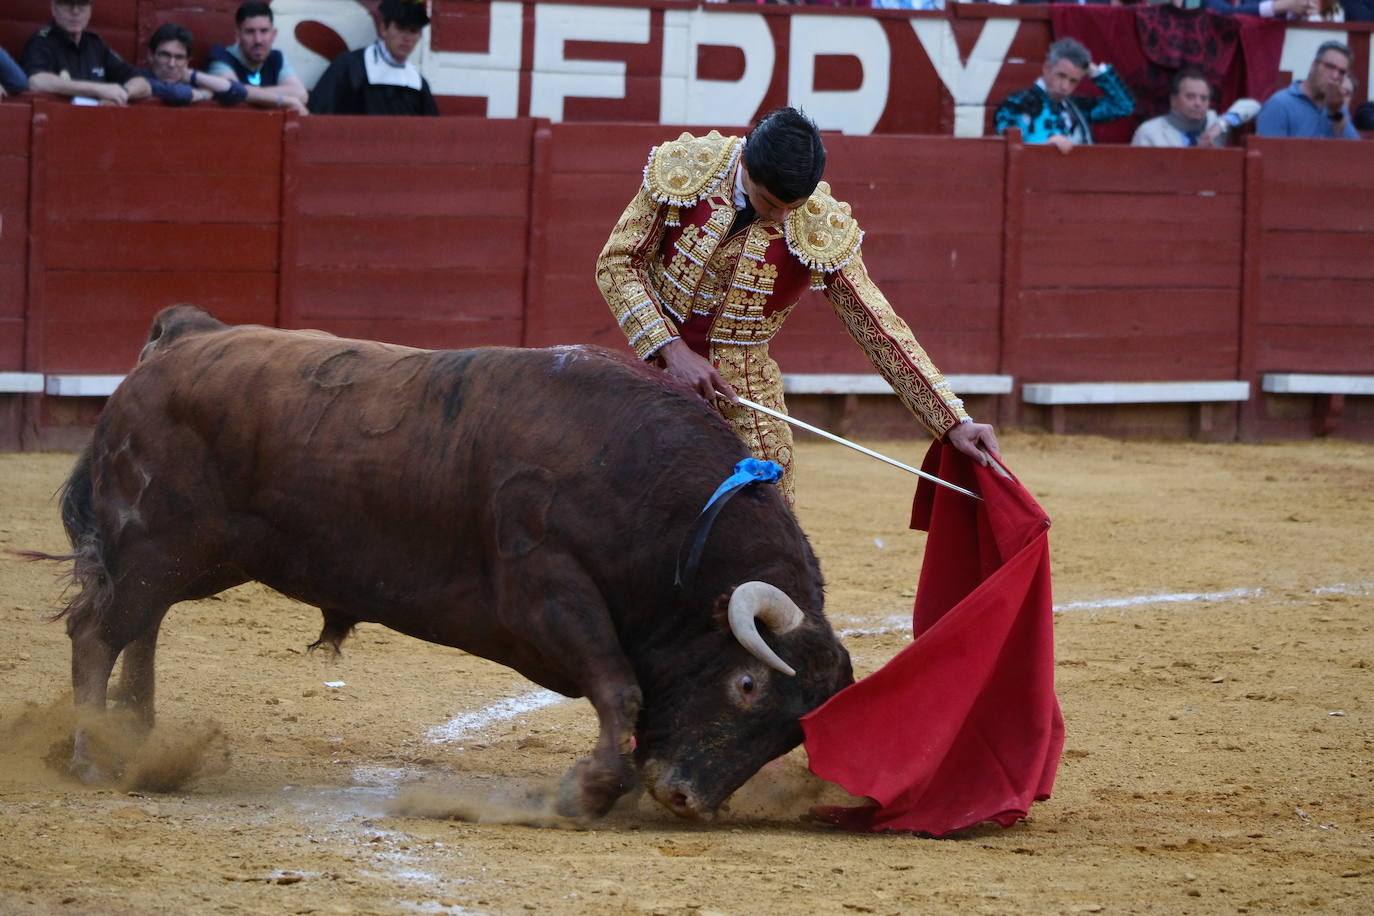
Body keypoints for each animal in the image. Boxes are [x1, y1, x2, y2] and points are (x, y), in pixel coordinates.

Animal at [48, 307, 851, 823]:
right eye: (746, 685)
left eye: (794, 730)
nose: (685, 799)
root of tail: (180, 341)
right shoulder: (544, 591)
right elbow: (619, 688)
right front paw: (586, 793)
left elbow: (624, 694)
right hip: (152, 542)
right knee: (98, 630)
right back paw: (93, 755)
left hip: (194, 556)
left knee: (142, 626)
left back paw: (138, 738)